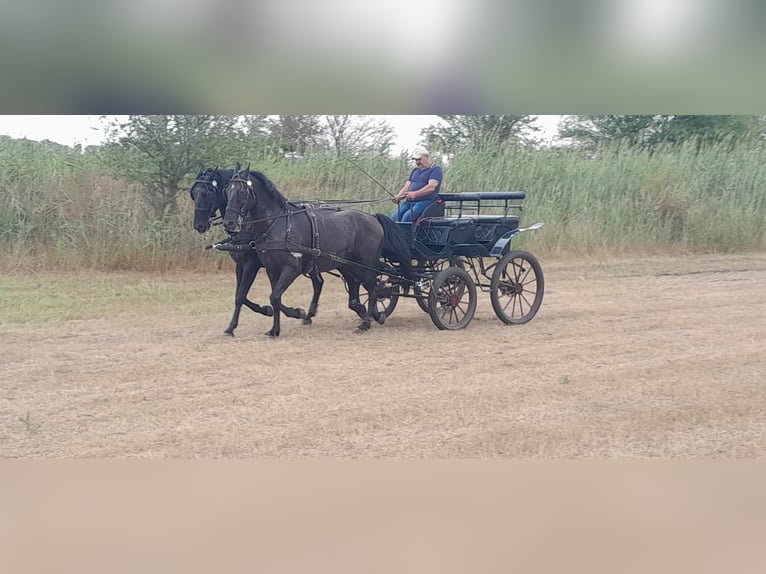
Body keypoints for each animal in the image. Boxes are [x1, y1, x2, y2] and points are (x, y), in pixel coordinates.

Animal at [190, 165, 326, 338]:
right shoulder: (240, 265)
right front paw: (263, 312)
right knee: (318, 282)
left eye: (208, 192)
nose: (199, 225)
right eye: (194, 193)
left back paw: (306, 314)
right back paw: (309, 315)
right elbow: (239, 295)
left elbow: (241, 295)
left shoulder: (251, 264)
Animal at [222, 169, 400, 336]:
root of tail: (373, 218)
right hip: (348, 265)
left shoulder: (289, 269)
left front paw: (297, 313)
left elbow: (273, 297)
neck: (278, 224)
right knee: (358, 288)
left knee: (373, 289)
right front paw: (274, 330)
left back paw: (367, 322)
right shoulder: (271, 271)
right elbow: (271, 298)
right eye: (227, 190)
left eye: (242, 191)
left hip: (366, 264)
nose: (229, 222)